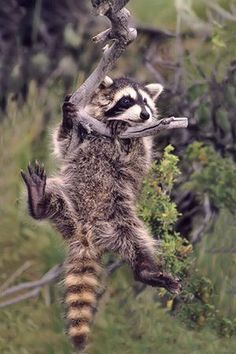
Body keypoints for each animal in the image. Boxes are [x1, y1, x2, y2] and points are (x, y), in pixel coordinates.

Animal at [21, 76, 180, 352]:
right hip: (68, 201)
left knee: (138, 242)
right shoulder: (80, 139)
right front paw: (68, 119)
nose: (146, 115)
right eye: (127, 100)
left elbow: (139, 157)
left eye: (146, 102)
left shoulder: (139, 151)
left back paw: (145, 270)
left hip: (121, 217)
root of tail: (86, 234)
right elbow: (63, 143)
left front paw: (128, 135)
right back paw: (39, 201)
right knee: (53, 199)